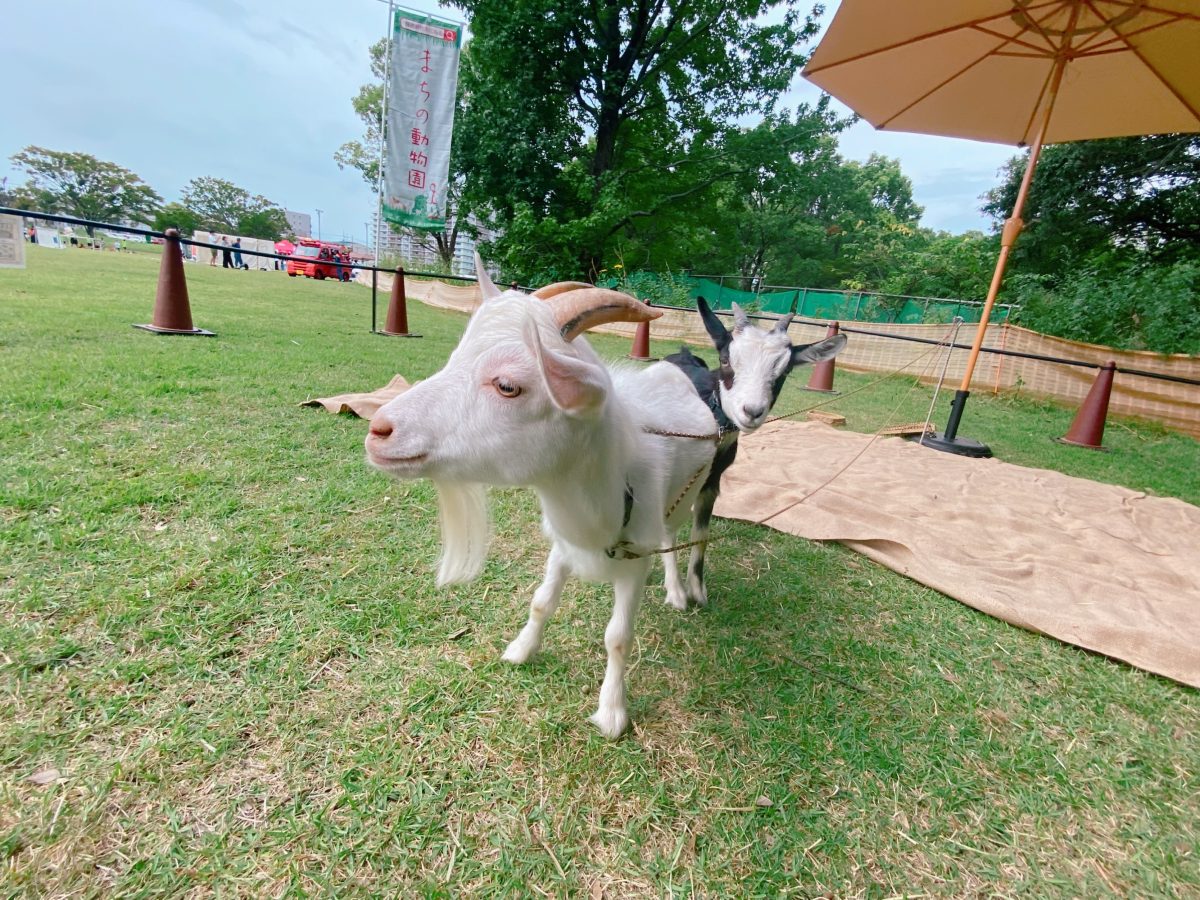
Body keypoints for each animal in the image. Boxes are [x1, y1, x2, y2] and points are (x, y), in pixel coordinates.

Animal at [662, 303, 849, 614]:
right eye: (726, 360)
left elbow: (701, 537)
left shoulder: (711, 482)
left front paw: (697, 590)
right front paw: (676, 593)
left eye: (784, 370)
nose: (752, 411)